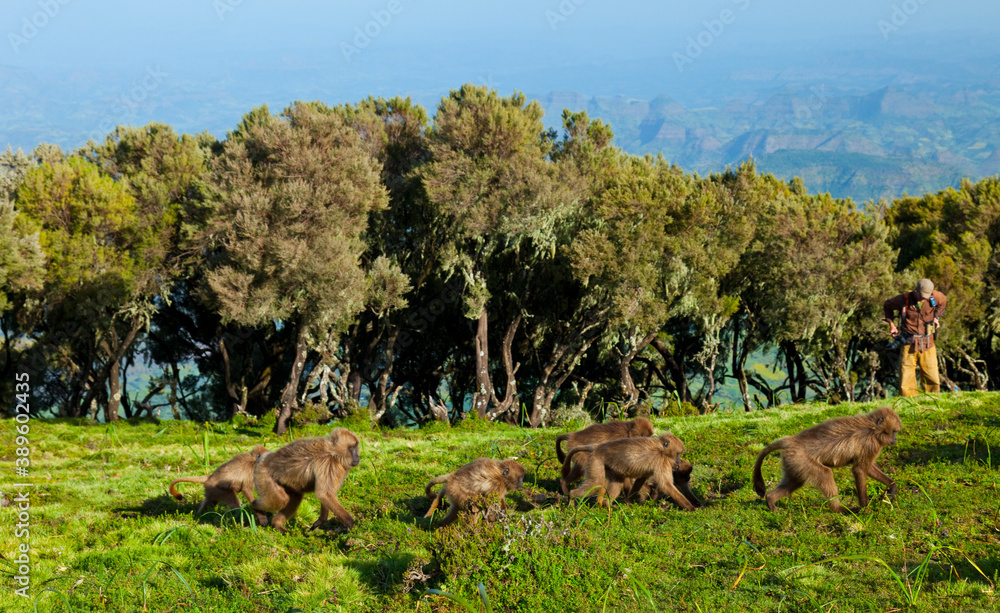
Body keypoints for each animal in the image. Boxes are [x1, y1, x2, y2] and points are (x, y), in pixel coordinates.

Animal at [565, 433, 696, 511]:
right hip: (596, 461)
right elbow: (666, 485)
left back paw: (607, 505)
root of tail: (598, 447)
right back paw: (571, 497)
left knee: (617, 482)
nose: (678, 462)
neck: (661, 449)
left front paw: (628, 503)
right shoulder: (661, 461)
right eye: (678, 454)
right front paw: (691, 507)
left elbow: (641, 479)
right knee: (596, 483)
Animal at [752, 406, 902, 514]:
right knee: (825, 474)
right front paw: (865, 507)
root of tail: (792, 441)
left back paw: (770, 500)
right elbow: (859, 469)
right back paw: (839, 508)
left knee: (795, 482)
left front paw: (892, 487)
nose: (895, 439)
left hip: (794, 462)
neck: (873, 428)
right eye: (894, 432)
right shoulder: (870, 443)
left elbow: (868, 468)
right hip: (801, 459)